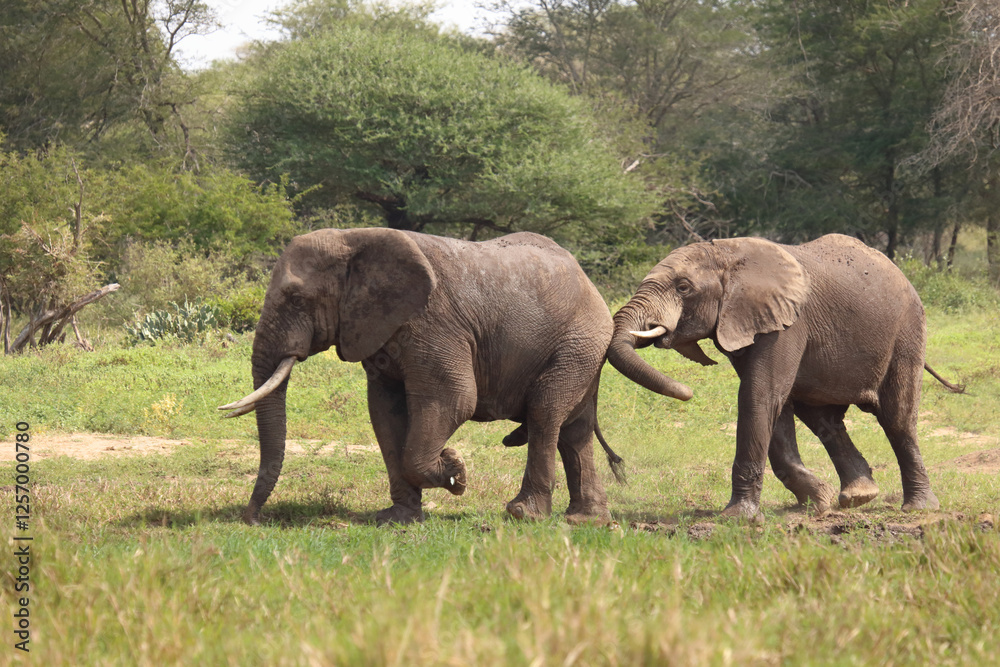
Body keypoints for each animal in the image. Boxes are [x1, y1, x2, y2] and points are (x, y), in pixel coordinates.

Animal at [219, 228, 622, 526]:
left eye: (296, 298)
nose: (252, 520)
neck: (354, 239)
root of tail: (591, 286)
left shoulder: (434, 323)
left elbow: (454, 399)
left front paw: (456, 472)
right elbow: (385, 413)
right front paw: (397, 518)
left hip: (577, 344)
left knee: (545, 413)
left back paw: (524, 514)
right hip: (582, 352)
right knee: (574, 429)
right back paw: (585, 520)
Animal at [607, 233, 962, 519]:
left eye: (683, 287)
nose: (688, 391)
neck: (727, 253)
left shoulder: (788, 323)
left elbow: (759, 394)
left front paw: (738, 517)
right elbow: (773, 403)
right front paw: (819, 501)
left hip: (907, 333)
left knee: (897, 418)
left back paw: (917, 508)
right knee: (824, 420)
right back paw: (859, 496)